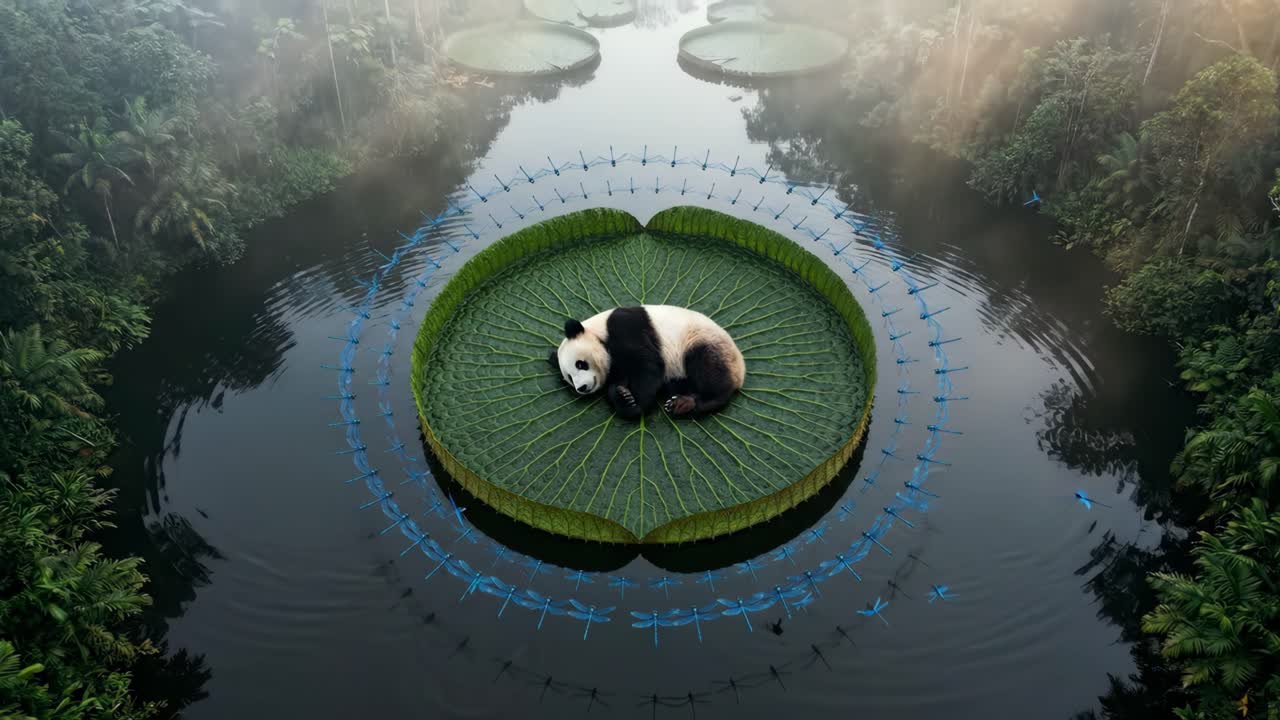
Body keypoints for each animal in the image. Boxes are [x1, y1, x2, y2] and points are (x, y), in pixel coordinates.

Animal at [550, 305, 746, 420]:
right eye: (569, 378)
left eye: (580, 364)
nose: (582, 388)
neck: (599, 331)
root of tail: (741, 371)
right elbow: (620, 380)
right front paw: (623, 395)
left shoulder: (624, 328)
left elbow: (647, 366)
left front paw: (637, 405)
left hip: (702, 341)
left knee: (708, 369)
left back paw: (687, 403)